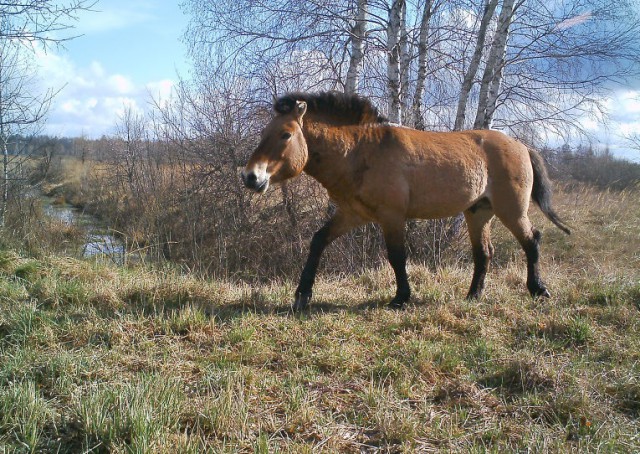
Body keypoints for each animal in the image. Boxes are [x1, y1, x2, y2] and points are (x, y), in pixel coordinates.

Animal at [240, 92, 568, 312]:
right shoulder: (352, 214)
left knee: (532, 240)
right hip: (478, 213)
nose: (251, 177)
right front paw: (302, 295)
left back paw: (538, 289)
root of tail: (521, 146)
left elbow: (397, 256)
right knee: (484, 253)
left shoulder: (392, 216)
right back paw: (473, 296)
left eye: (286, 134)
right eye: (265, 132)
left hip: (511, 210)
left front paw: (401, 297)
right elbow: (318, 241)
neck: (362, 150)